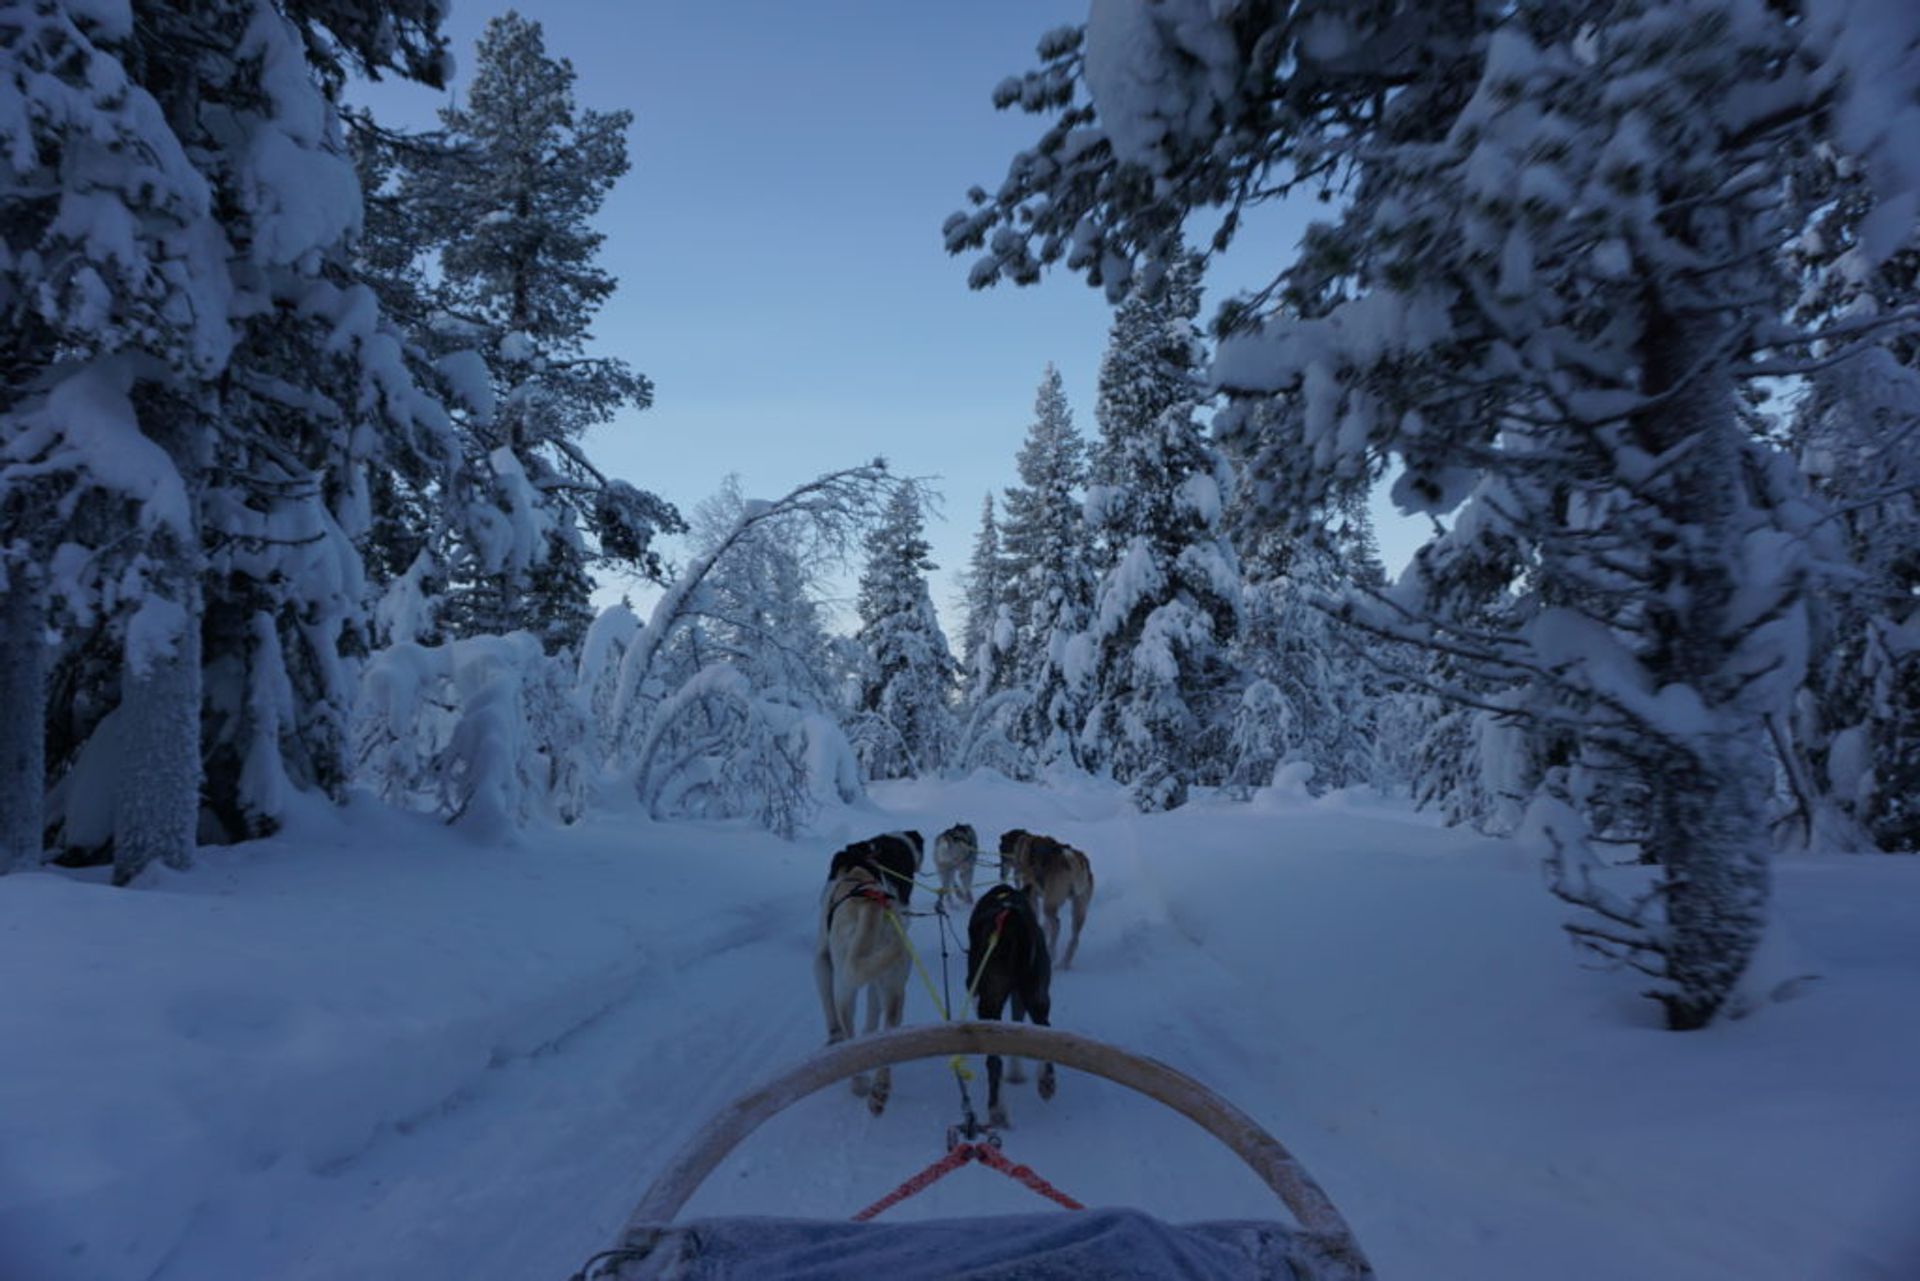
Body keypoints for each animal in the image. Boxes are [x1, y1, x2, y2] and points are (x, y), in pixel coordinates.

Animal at [814, 868, 910, 1113]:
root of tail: (871, 905)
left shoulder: (822, 959)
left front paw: (834, 1037)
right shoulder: (876, 979)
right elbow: (872, 1016)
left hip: (844, 989)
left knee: (848, 1031)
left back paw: (858, 1083)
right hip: (894, 986)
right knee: (890, 1027)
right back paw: (879, 1090)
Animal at [967, 887, 1059, 1129]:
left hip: (990, 1002)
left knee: (994, 1062)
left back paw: (997, 1110)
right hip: (1037, 993)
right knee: (1044, 1026)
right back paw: (1046, 1082)